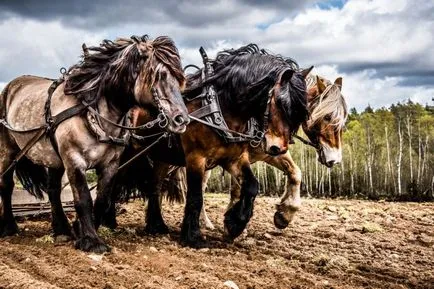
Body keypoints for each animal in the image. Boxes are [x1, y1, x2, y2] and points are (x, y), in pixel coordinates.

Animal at [0, 35, 190, 252]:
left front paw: (81, 230)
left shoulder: (110, 164)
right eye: (159, 75)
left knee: (53, 190)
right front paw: (91, 241)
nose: (182, 120)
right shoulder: (74, 160)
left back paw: (62, 230)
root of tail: (11, 86)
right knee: (6, 184)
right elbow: (83, 200)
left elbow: (101, 200)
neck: (93, 113)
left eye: (180, 79)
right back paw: (9, 227)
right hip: (8, 150)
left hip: (55, 158)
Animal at [104, 43, 308, 245]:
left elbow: (252, 186)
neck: (221, 107)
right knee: (116, 178)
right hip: (129, 151)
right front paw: (192, 236)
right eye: (280, 103)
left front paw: (235, 223)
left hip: (163, 156)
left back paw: (157, 225)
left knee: (155, 186)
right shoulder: (196, 157)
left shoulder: (235, 158)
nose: (279, 148)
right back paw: (109, 221)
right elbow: (196, 196)